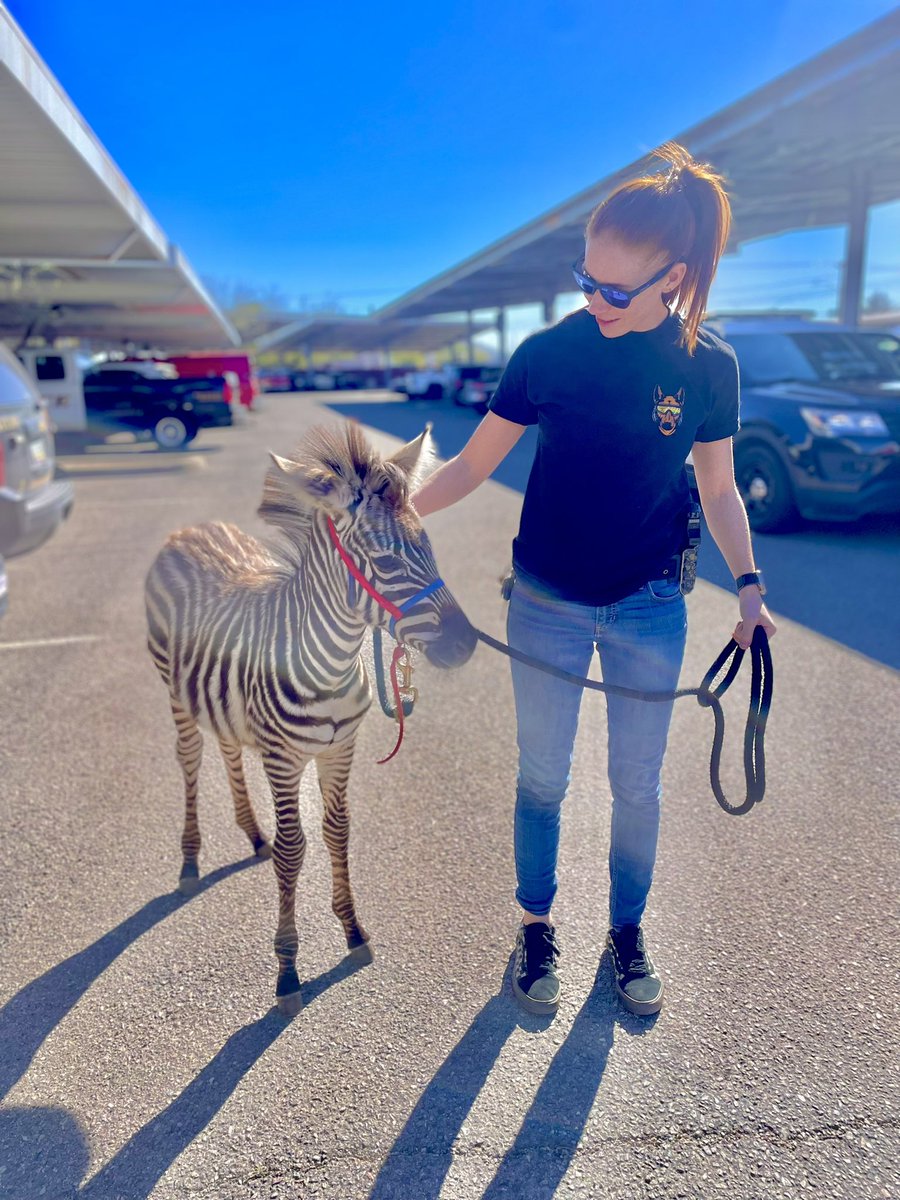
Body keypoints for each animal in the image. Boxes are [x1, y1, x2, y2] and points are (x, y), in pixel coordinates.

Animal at [144, 422, 476, 1015]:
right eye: (386, 560)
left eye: (428, 547)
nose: (466, 646)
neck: (332, 662)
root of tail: (187, 529)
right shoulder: (282, 760)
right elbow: (294, 851)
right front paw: (288, 969)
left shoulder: (340, 749)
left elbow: (337, 833)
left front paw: (353, 931)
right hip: (176, 695)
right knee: (190, 760)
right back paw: (189, 861)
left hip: (220, 700)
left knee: (228, 749)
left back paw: (252, 835)